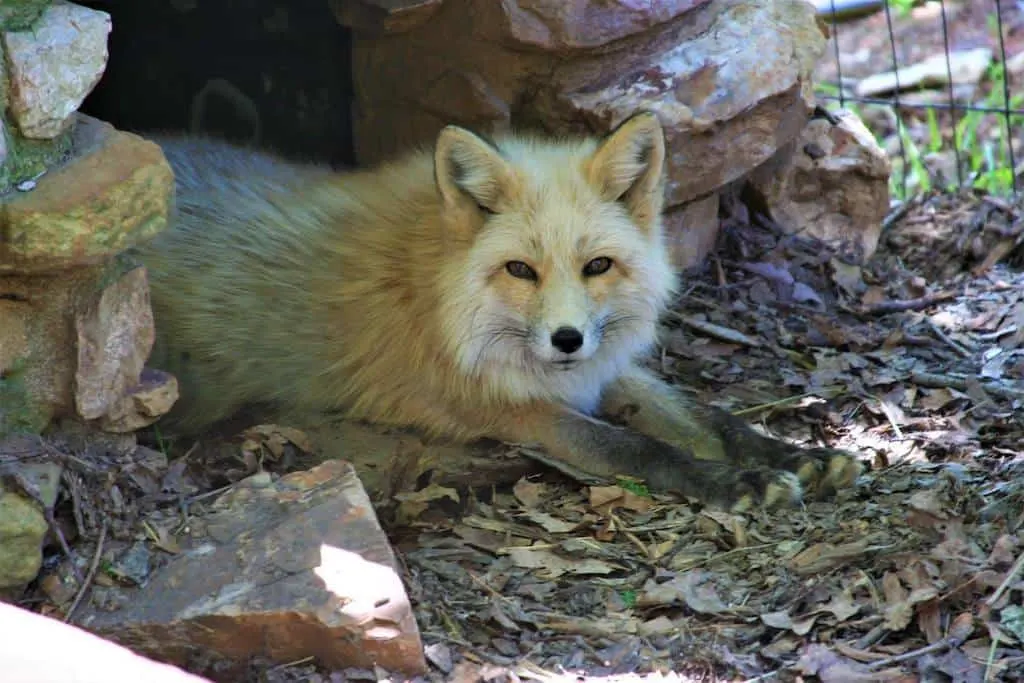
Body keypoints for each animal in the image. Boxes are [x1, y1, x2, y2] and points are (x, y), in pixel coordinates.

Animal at [132, 112, 860, 509]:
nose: (566, 339)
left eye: (598, 266)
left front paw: (791, 455)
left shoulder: (593, 371)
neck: (439, 287)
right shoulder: (506, 408)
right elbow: (635, 445)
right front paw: (734, 482)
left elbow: (706, 416)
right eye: (521, 270)